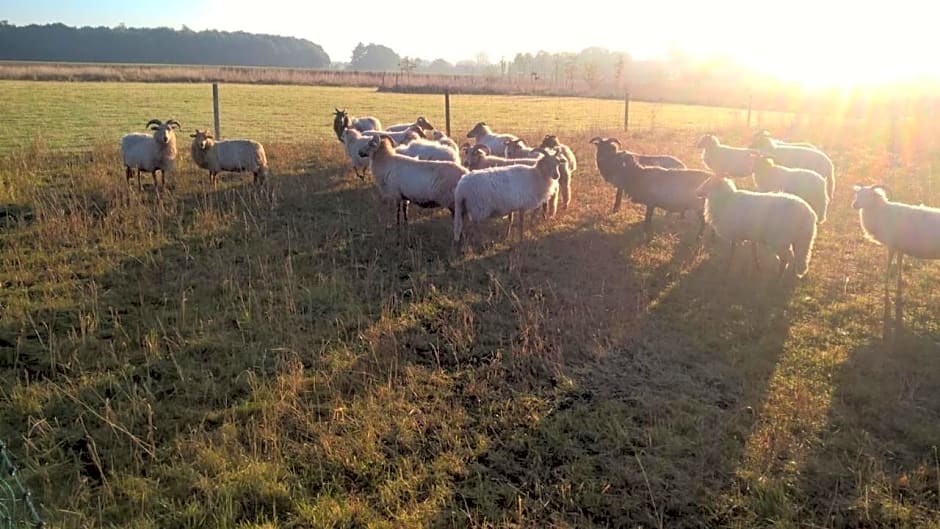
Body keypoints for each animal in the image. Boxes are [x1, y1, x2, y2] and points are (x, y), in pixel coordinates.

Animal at [692, 175, 820, 278]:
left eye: (709, 182)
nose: (696, 192)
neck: (726, 199)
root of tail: (809, 215)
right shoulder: (752, 234)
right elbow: (753, 250)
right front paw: (757, 266)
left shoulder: (734, 232)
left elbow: (733, 250)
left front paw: (728, 266)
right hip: (802, 241)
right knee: (798, 258)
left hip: (779, 240)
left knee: (785, 260)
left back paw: (777, 280)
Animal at [852, 184, 940, 336]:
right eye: (858, 194)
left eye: (868, 195)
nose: (855, 204)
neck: (882, 213)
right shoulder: (900, 247)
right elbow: (899, 264)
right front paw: (899, 281)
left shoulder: (892, 245)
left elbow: (889, 264)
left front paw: (886, 283)